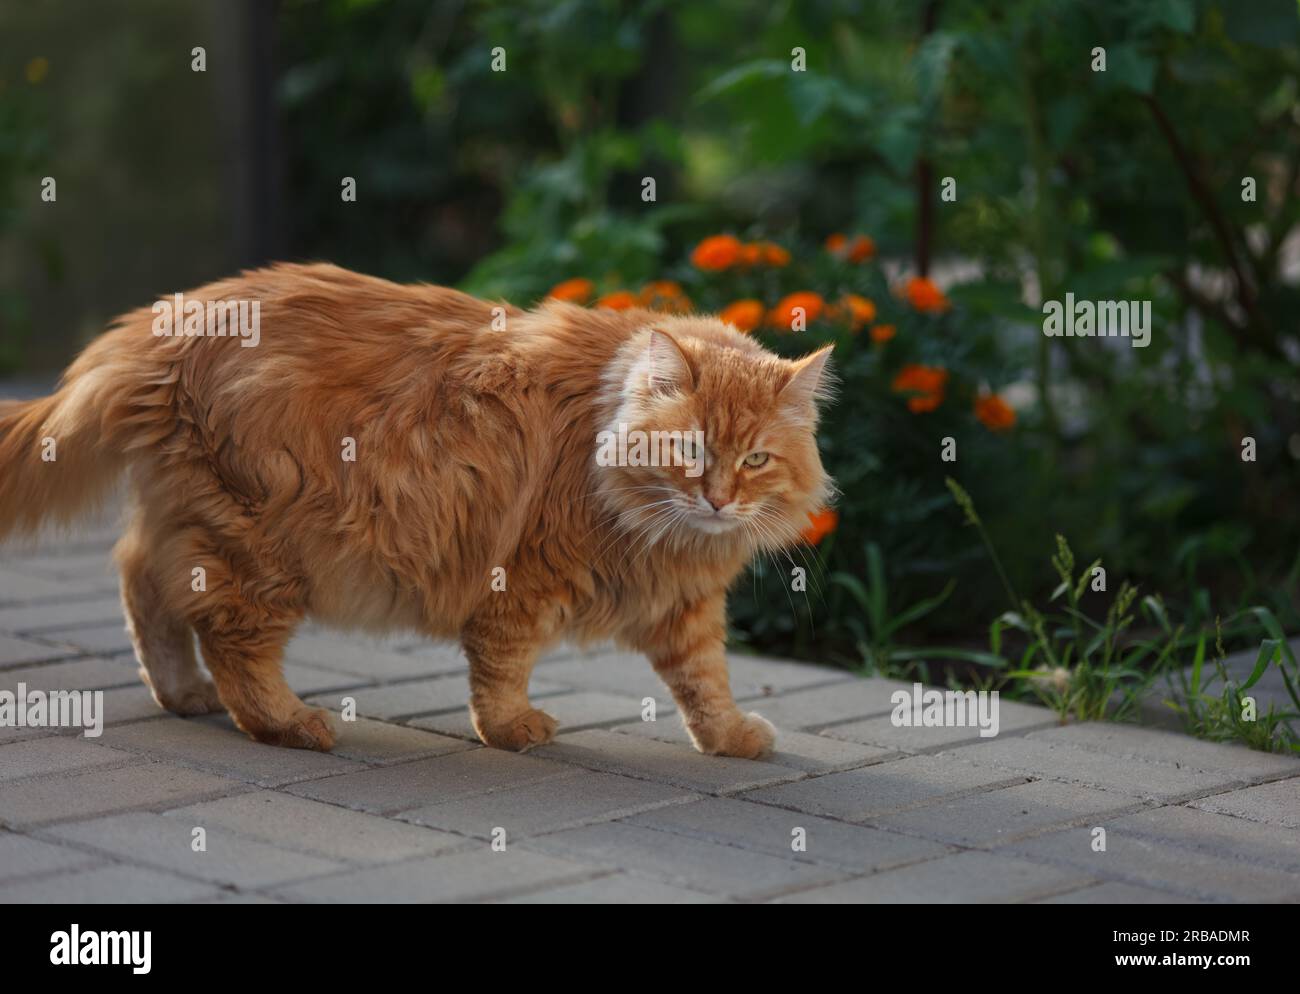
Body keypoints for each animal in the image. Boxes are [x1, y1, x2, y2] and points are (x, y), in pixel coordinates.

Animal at [0, 259, 832, 753]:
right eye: (689, 450)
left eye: (754, 460)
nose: (718, 500)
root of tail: (154, 327)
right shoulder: (522, 578)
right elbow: (502, 668)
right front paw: (512, 730)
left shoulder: (684, 607)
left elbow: (706, 679)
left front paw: (730, 736)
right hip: (261, 544)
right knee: (232, 643)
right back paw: (291, 723)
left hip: (193, 521)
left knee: (143, 585)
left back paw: (181, 695)